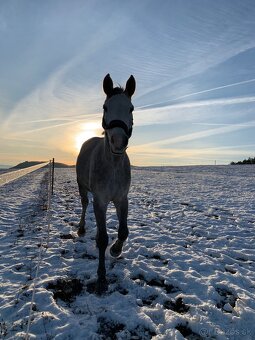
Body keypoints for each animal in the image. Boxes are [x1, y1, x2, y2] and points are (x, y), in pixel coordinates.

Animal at [75, 73, 135, 294]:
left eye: (130, 108)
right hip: (82, 188)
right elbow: (102, 239)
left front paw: (116, 249)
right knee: (84, 205)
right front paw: (101, 278)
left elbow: (123, 231)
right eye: (105, 107)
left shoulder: (121, 199)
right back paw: (81, 228)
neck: (113, 165)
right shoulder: (100, 201)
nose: (118, 141)